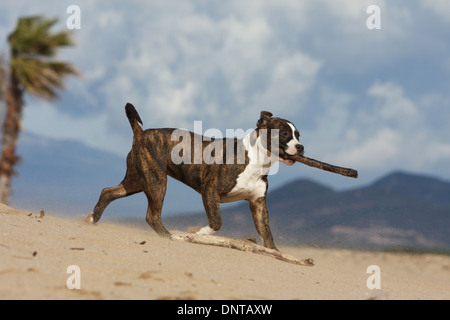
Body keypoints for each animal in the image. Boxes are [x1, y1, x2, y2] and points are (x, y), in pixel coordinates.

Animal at [89, 103, 304, 250]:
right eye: (284, 133)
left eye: (298, 135)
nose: (301, 147)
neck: (258, 159)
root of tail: (141, 133)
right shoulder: (210, 191)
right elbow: (217, 221)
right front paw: (200, 233)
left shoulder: (258, 204)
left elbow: (266, 232)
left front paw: (274, 252)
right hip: (156, 182)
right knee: (152, 216)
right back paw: (170, 236)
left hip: (137, 181)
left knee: (108, 192)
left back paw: (92, 219)